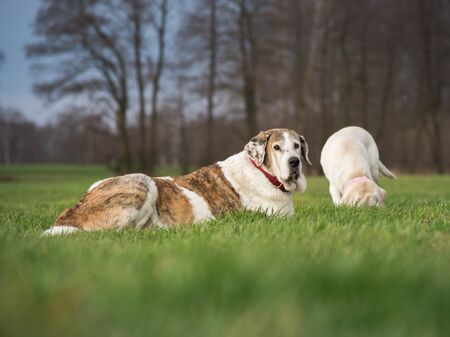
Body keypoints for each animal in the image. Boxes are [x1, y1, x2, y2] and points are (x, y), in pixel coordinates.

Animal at [44, 127, 312, 235]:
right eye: (276, 147)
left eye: (297, 146)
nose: (294, 162)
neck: (264, 173)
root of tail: (70, 214)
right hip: (142, 181)